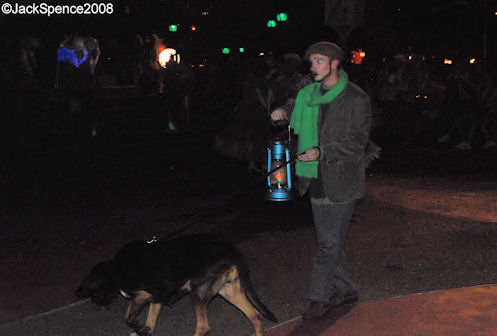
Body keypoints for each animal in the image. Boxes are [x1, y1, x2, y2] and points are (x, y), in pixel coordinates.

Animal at [75, 234, 278, 336]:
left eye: (92, 296)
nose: (97, 305)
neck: (115, 269)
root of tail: (233, 251)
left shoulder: (142, 296)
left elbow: (128, 319)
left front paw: (138, 328)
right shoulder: (157, 297)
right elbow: (150, 322)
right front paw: (144, 331)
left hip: (198, 291)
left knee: (204, 327)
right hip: (228, 291)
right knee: (254, 315)